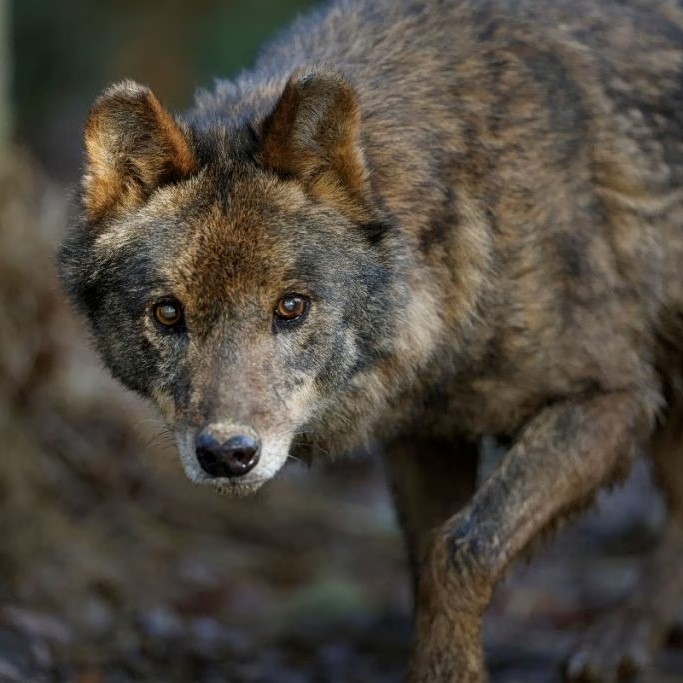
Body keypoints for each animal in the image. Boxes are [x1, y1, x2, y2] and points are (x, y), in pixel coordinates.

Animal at [59, 0, 683, 679]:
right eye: (169, 314)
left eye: (291, 307)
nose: (227, 454)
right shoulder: (425, 436)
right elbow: (426, 566)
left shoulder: (613, 400)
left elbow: (461, 550)